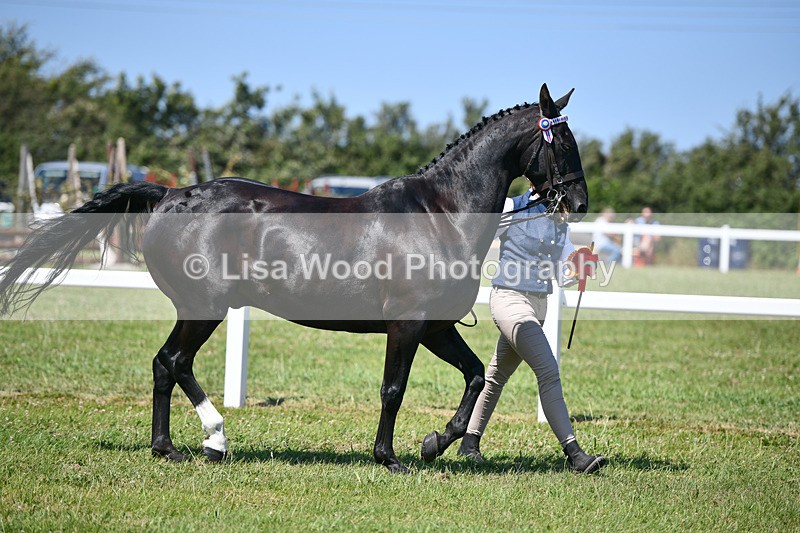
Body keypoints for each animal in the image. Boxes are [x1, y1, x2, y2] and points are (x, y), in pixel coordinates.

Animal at [0, 84, 588, 473]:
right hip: (205, 307)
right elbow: (393, 389)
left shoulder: (437, 326)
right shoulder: (407, 325)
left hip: (198, 308)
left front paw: (434, 442)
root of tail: (170, 194)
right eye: (561, 143)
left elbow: (474, 377)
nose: (579, 203)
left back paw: (175, 446)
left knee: (167, 365)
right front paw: (389, 457)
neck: (439, 213)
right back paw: (211, 440)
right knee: (174, 362)